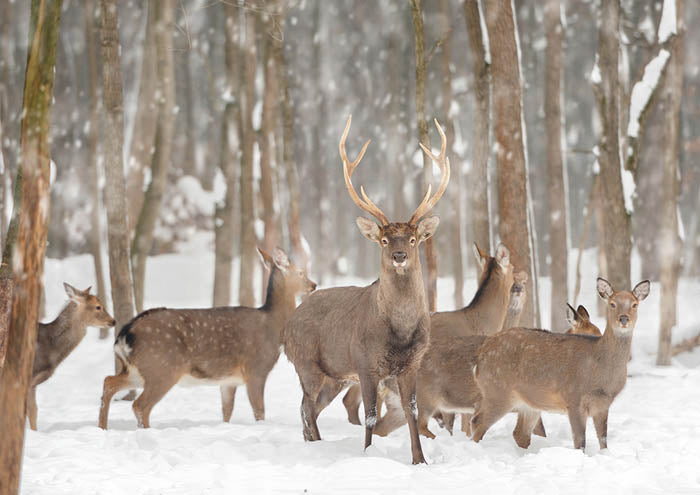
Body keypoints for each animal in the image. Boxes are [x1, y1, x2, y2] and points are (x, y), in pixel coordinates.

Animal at [98, 247, 316, 429]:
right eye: (300, 272)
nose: (313, 284)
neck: (272, 325)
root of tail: (125, 334)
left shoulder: (229, 380)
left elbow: (227, 411)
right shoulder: (256, 369)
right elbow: (259, 411)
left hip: (139, 369)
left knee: (109, 382)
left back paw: (102, 427)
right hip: (163, 367)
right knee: (139, 405)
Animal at [281, 115, 450, 465]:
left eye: (412, 239)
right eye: (384, 240)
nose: (399, 255)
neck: (399, 332)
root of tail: (287, 326)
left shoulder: (412, 364)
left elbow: (413, 411)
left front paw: (420, 460)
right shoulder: (365, 363)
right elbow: (371, 414)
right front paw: (369, 454)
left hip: (333, 375)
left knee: (309, 408)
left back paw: (314, 444)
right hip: (306, 363)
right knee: (306, 407)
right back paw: (316, 446)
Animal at [471, 277, 650, 451]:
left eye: (634, 304)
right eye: (612, 303)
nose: (624, 319)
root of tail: (480, 356)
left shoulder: (603, 404)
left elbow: (604, 442)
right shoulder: (574, 398)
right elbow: (580, 443)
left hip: (527, 403)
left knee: (520, 433)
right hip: (497, 391)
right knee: (477, 421)